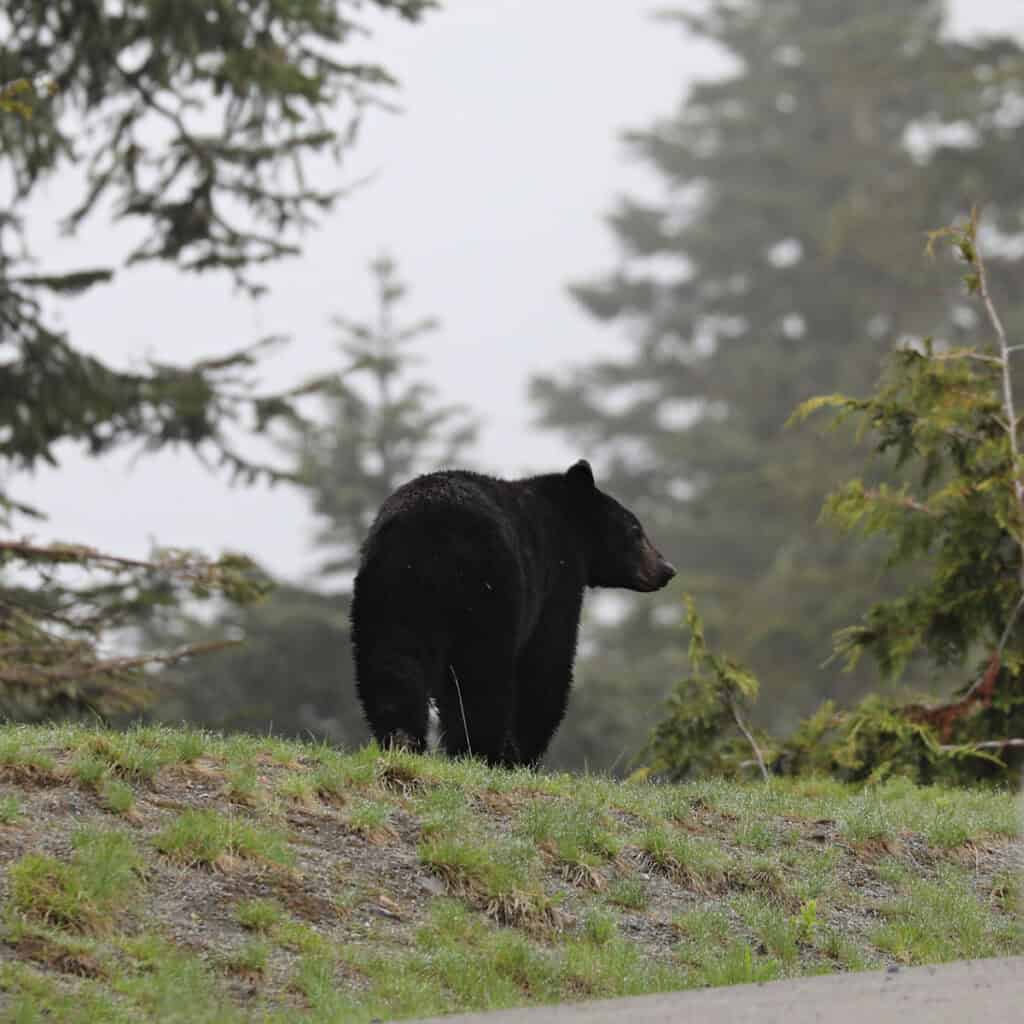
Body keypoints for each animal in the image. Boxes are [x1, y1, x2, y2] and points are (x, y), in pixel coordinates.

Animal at [350, 460, 675, 767]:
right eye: (636, 531)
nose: (667, 569)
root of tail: (427, 533)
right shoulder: (556, 577)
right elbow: (547, 660)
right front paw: (524, 753)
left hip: (389, 590)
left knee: (391, 660)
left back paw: (402, 739)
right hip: (487, 589)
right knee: (481, 672)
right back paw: (481, 750)